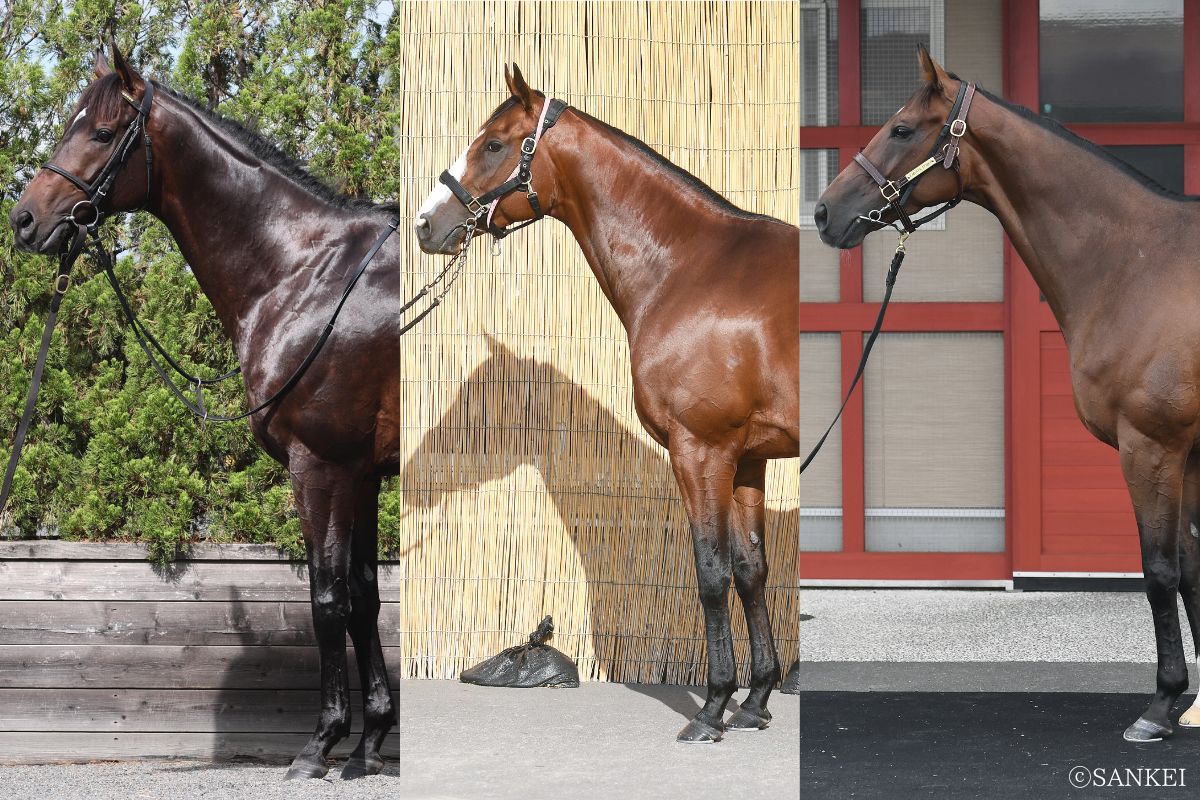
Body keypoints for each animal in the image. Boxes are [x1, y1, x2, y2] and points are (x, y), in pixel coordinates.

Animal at [8, 43, 397, 778]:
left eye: (101, 132)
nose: (24, 221)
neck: (305, 275)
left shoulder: (321, 467)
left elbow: (328, 599)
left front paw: (321, 743)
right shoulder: (359, 474)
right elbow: (363, 596)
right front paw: (367, 745)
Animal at [413, 65, 799, 743]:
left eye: (493, 144)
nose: (426, 222)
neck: (691, 268)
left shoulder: (702, 450)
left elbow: (711, 573)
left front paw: (712, 707)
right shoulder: (749, 459)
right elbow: (751, 572)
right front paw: (755, 701)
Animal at [815, 45, 1200, 744]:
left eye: (902, 129)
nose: (826, 212)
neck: (1137, 263)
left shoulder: (1150, 448)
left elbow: (1159, 572)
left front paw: (1161, 705)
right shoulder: (1186, 455)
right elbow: (1190, 570)